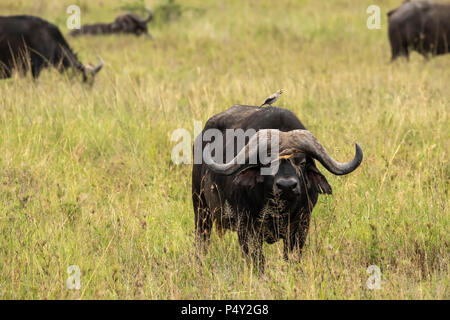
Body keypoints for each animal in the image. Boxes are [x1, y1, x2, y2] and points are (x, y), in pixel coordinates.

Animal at [192, 106, 364, 272]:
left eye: (302, 162)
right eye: (266, 163)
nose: (287, 186)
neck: (279, 210)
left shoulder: (301, 226)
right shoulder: (246, 228)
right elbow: (257, 260)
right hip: (201, 210)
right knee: (202, 241)